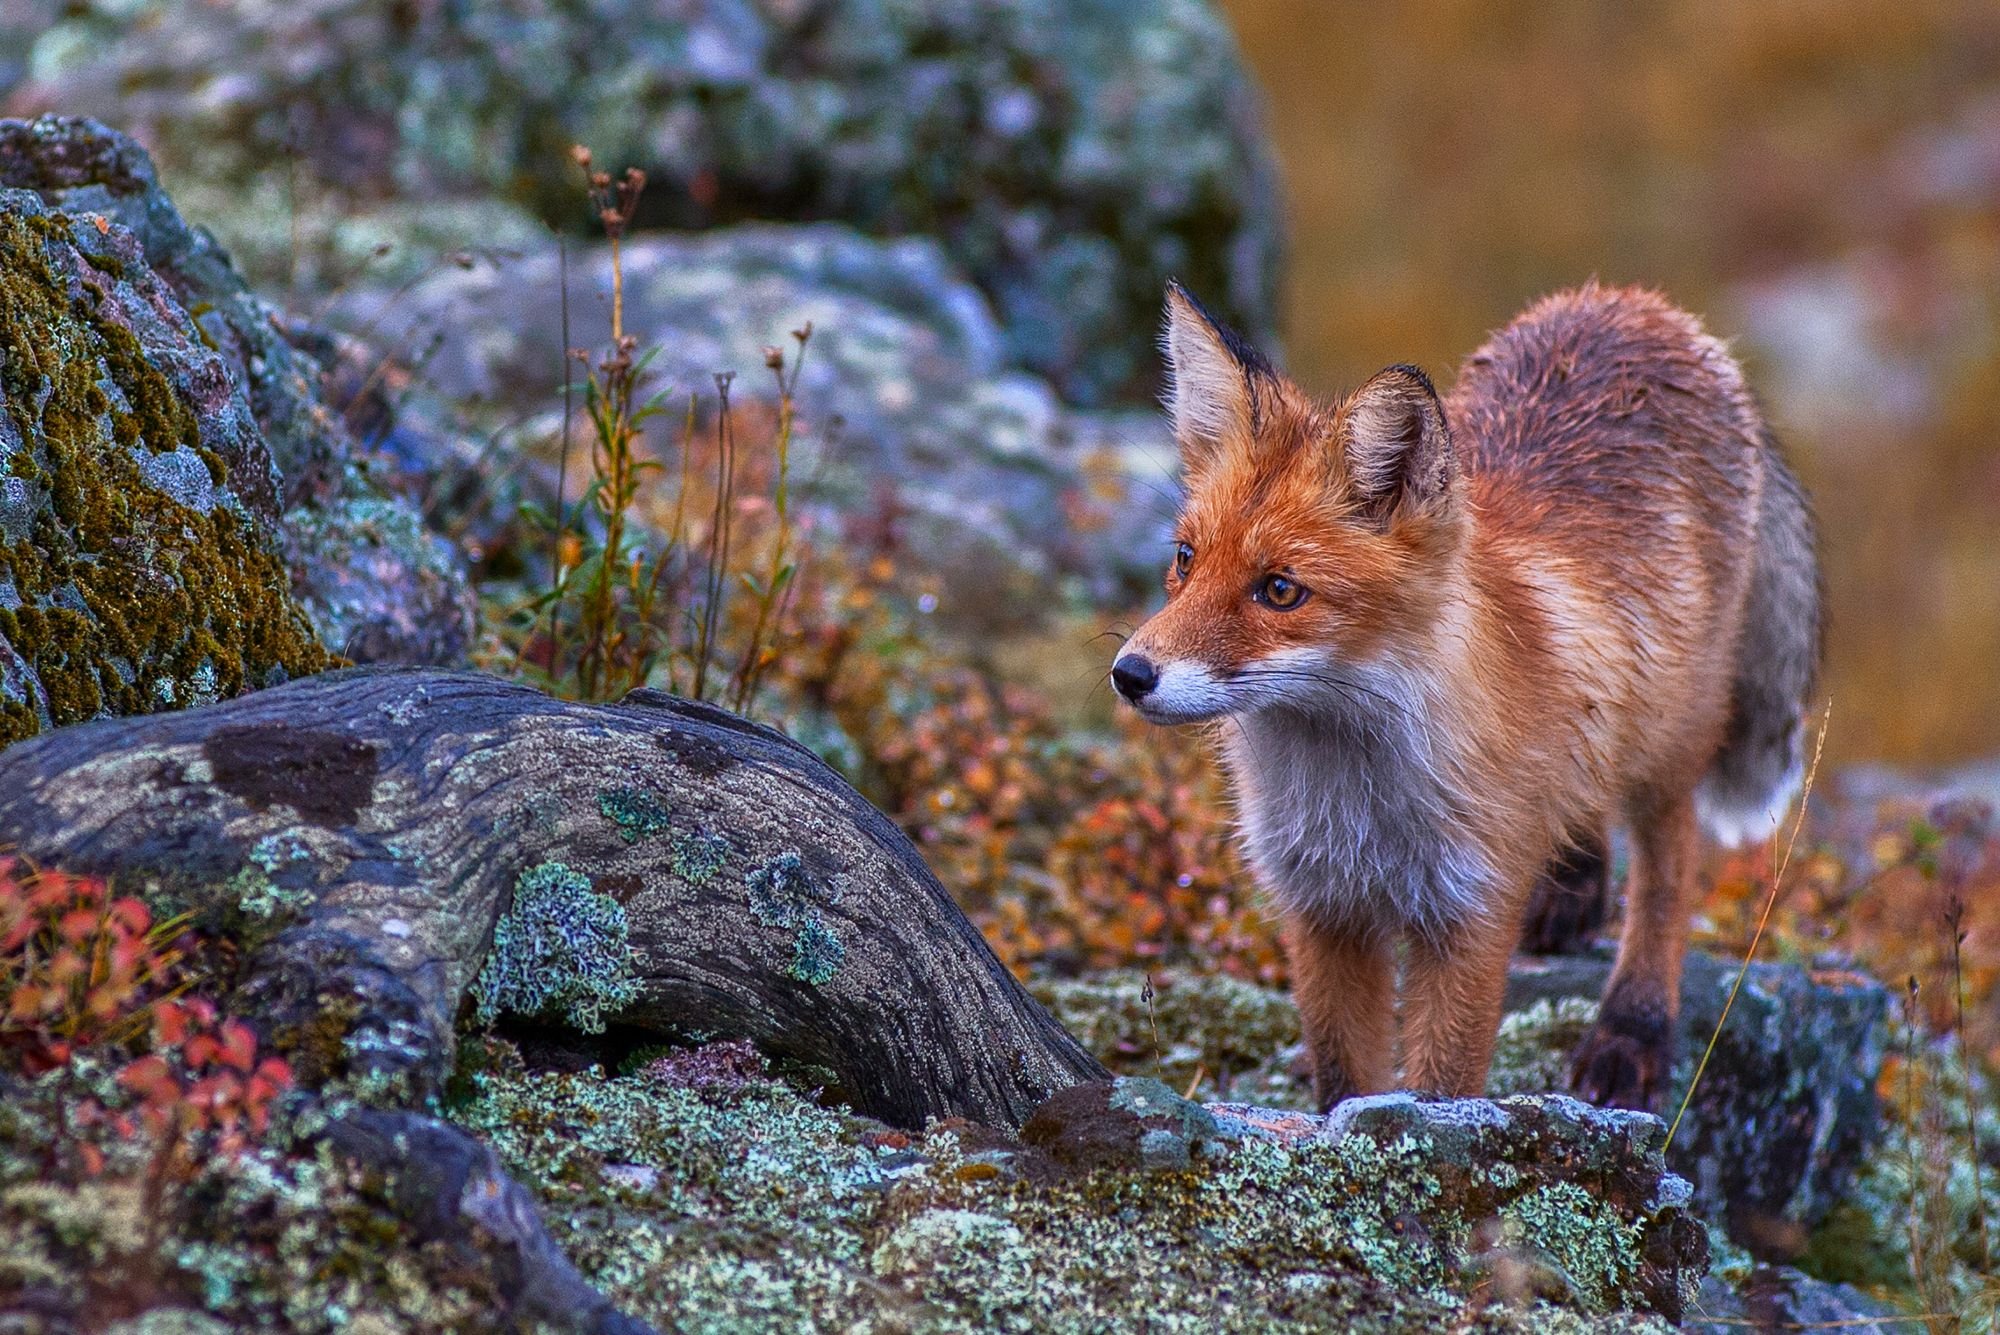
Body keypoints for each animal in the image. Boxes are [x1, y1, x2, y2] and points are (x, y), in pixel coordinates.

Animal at [1120, 283, 1824, 1119]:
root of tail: (1632, 302)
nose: (1130, 672)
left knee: (1668, 864)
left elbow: (1444, 1085)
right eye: (1184, 559)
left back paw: (1635, 1023)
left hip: (1674, 731)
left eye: (1281, 590)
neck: (1359, 807)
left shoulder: (1469, 912)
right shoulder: (1322, 907)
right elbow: (1342, 1076)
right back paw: (1573, 885)